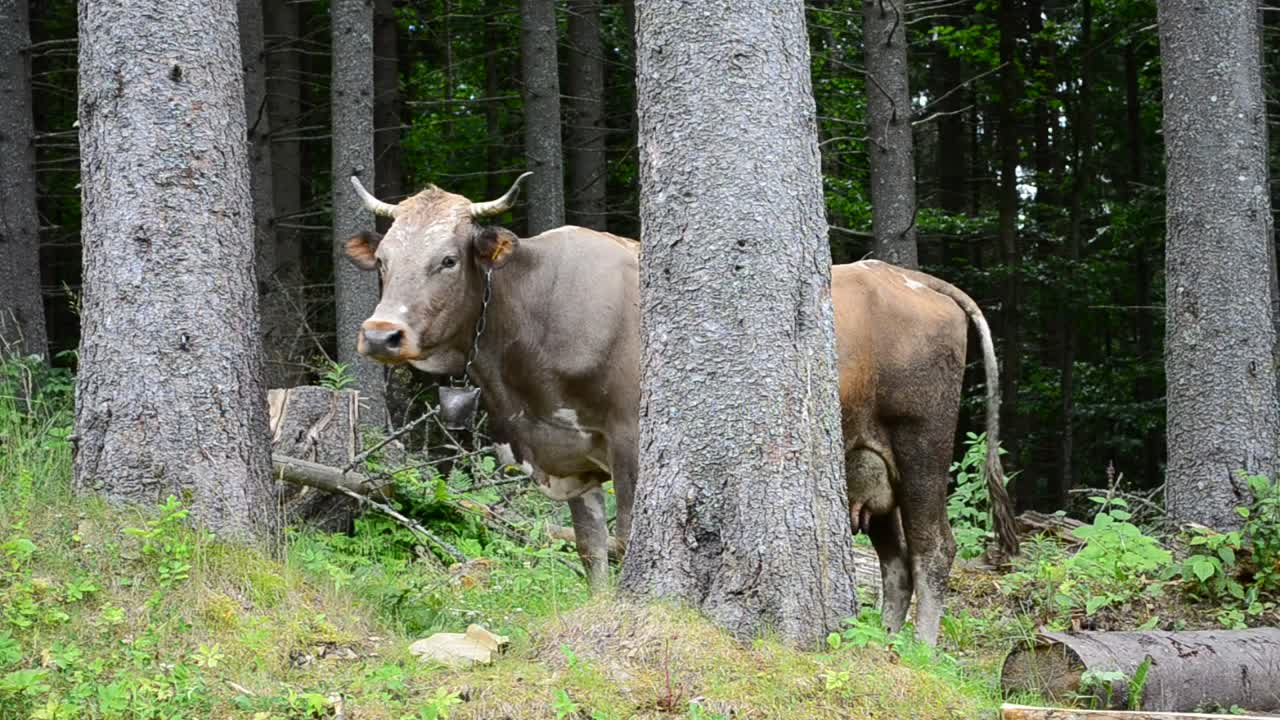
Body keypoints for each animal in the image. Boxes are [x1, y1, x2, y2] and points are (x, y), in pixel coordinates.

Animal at [342, 173, 639, 589]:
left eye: (449, 260)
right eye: (383, 261)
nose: (380, 335)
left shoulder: (629, 438)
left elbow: (626, 539)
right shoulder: (571, 458)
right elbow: (591, 550)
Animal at [832, 259, 1019, 645]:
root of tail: (910, 277)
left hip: (921, 452)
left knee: (933, 547)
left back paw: (921, 648)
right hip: (878, 471)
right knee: (897, 563)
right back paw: (887, 640)